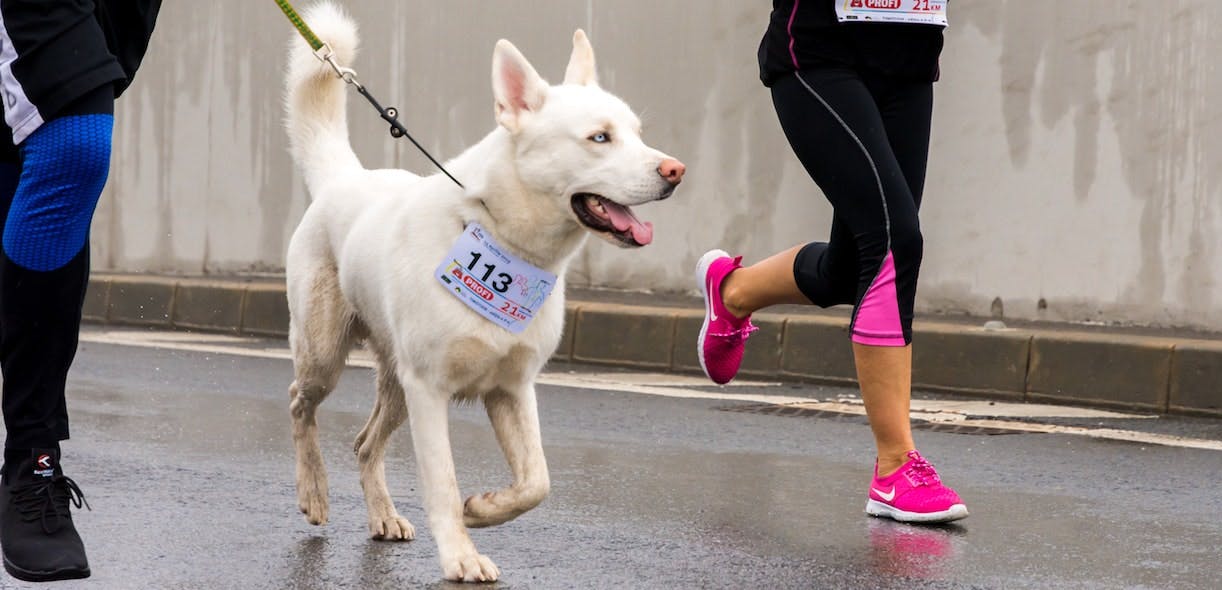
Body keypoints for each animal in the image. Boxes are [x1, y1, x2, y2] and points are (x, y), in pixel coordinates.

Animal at [281, 3, 684, 586]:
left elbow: (537, 483)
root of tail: (344, 178)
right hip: (325, 356)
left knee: (364, 444)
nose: (676, 170)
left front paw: (484, 508)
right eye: (599, 138)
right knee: (299, 404)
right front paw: (461, 555)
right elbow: (443, 483)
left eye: (636, 132)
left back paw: (382, 514)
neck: (500, 235)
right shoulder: (430, 391)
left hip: (395, 384)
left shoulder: (513, 389)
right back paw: (313, 490)